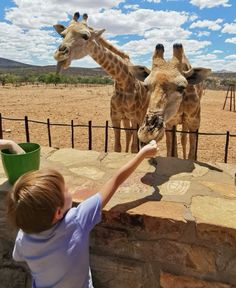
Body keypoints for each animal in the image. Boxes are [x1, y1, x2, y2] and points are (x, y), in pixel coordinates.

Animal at [53, 12, 149, 153]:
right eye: (62, 35)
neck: (123, 82)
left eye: (85, 36)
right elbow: (117, 147)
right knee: (128, 133)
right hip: (126, 118)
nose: (59, 54)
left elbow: (134, 148)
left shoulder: (136, 117)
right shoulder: (115, 117)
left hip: (141, 114)